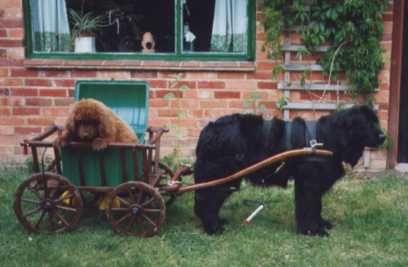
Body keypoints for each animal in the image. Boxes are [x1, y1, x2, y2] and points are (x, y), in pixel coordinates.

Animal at [194, 105, 386, 238]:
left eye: (376, 121)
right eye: (366, 123)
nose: (383, 137)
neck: (328, 138)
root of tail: (208, 130)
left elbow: (315, 206)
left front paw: (319, 224)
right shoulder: (309, 182)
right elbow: (310, 206)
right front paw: (313, 231)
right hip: (223, 176)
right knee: (207, 201)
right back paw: (213, 228)